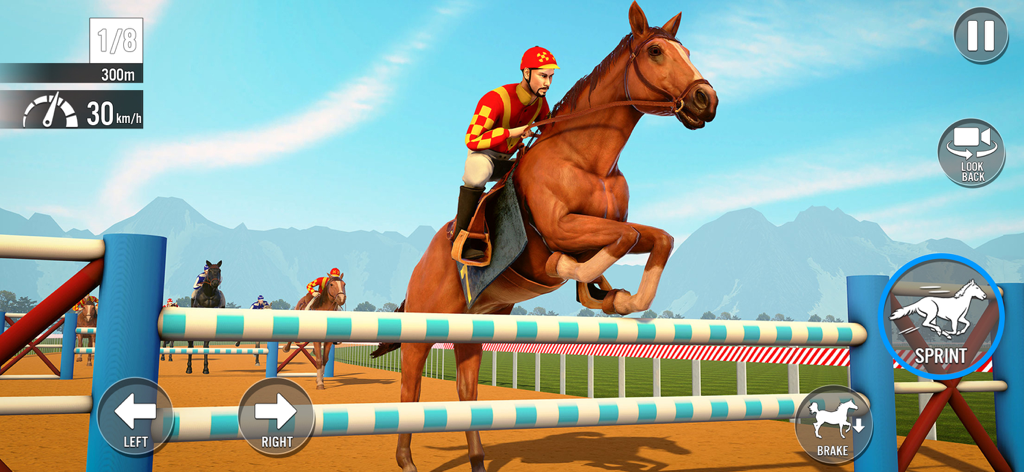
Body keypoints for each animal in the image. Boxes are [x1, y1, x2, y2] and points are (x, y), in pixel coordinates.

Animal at [390, 3, 718, 470]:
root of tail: (419, 267)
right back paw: (406, 459)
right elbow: (619, 239)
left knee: (466, 390)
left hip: (471, 327)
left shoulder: (607, 227)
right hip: (422, 323)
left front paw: (615, 298)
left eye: (686, 51)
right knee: (410, 384)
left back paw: (477, 458)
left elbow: (657, 238)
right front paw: (570, 271)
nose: (707, 100)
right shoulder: (562, 226)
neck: (586, 159)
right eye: (656, 51)